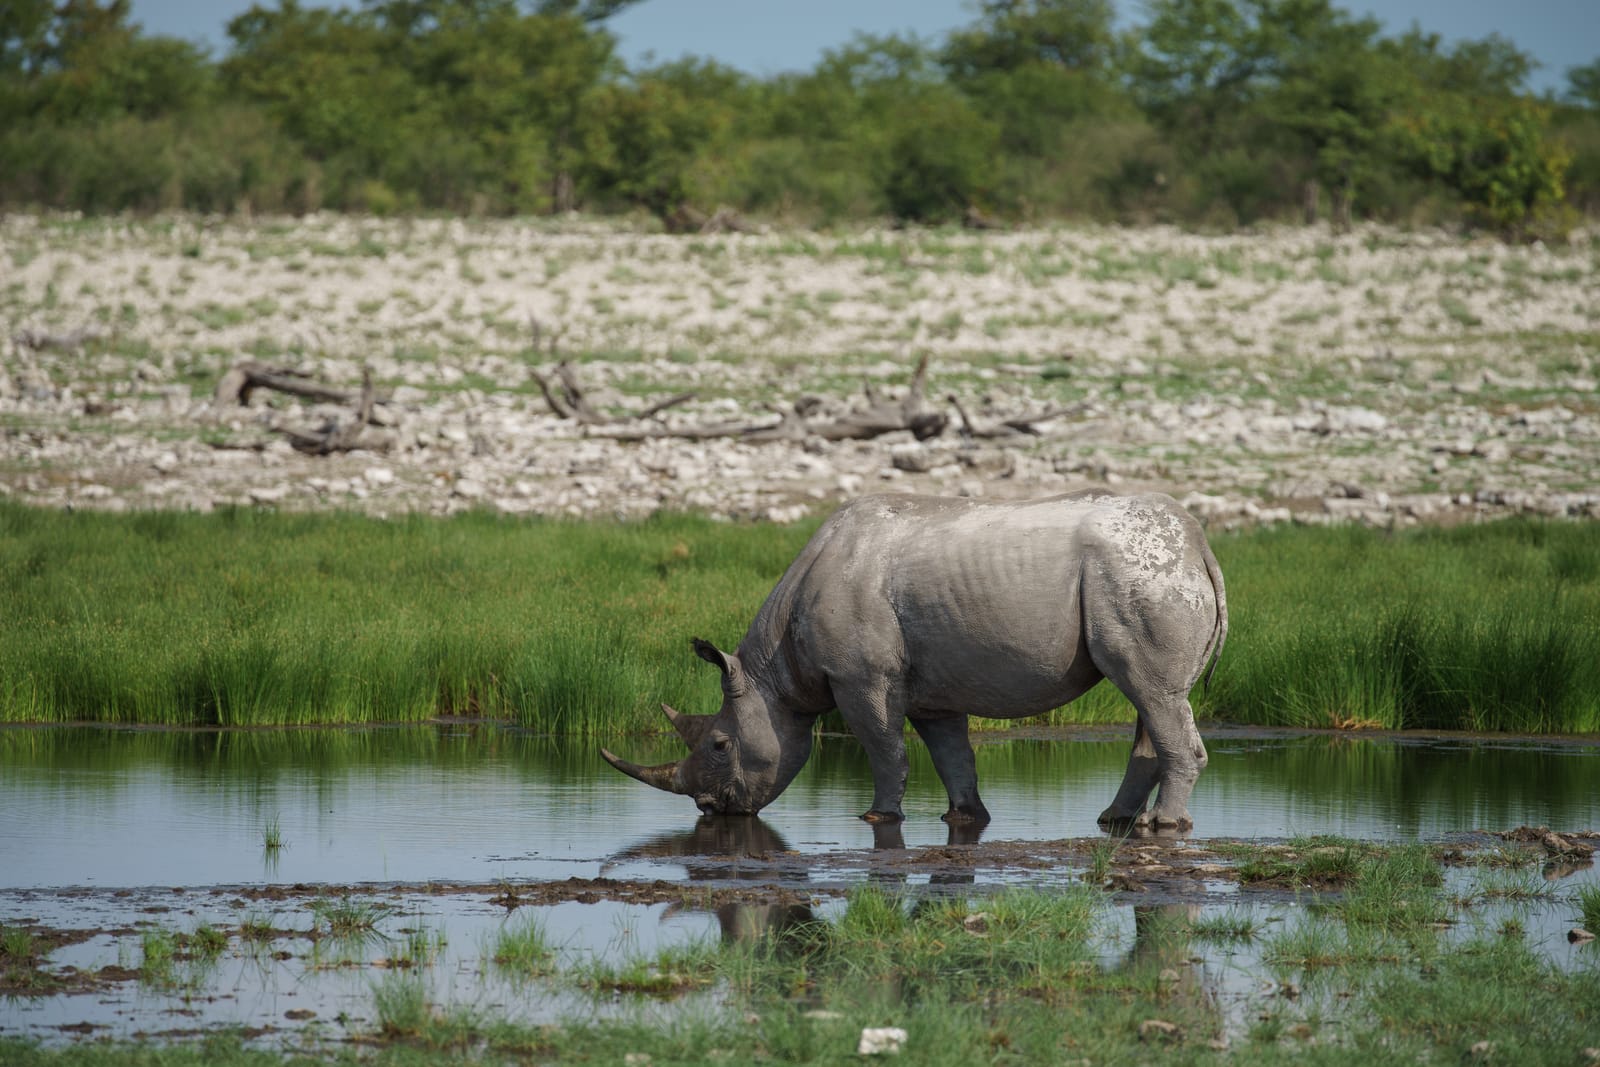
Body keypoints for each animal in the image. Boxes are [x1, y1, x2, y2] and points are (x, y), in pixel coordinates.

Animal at [601, 489, 1227, 831]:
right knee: (1151, 697)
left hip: (1141, 577)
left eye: (718, 744)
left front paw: (877, 817)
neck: (773, 675)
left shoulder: (861, 679)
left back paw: (1163, 825)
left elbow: (885, 748)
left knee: (1151, 691)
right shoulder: (934, 689)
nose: (712, 810)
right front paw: (965, 818)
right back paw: (1115, 821)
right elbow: (952, 755)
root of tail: (1198, 543)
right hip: (1144, 575)